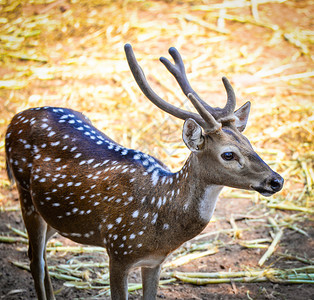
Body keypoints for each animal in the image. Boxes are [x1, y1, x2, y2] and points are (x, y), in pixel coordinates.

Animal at [4, 44, 284, 300]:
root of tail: (13, 120)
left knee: (40, 254)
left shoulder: (155, 261)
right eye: (228, 154)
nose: (276, 180)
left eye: (249, 143)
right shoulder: (117, 251)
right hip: (25, 195)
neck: (160, 219)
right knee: (35, 261)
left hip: (52, 213)